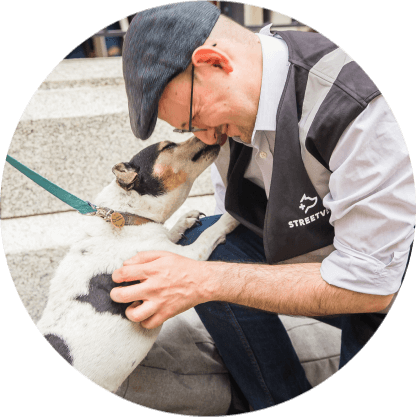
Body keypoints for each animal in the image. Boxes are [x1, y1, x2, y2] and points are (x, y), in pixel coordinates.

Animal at [36, 137, 240, 394]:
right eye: (167, 146)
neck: (127, 217)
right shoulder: (184, 259)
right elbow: (210, 233)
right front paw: (230, 217)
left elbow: (171, 231)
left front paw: (185, 221)